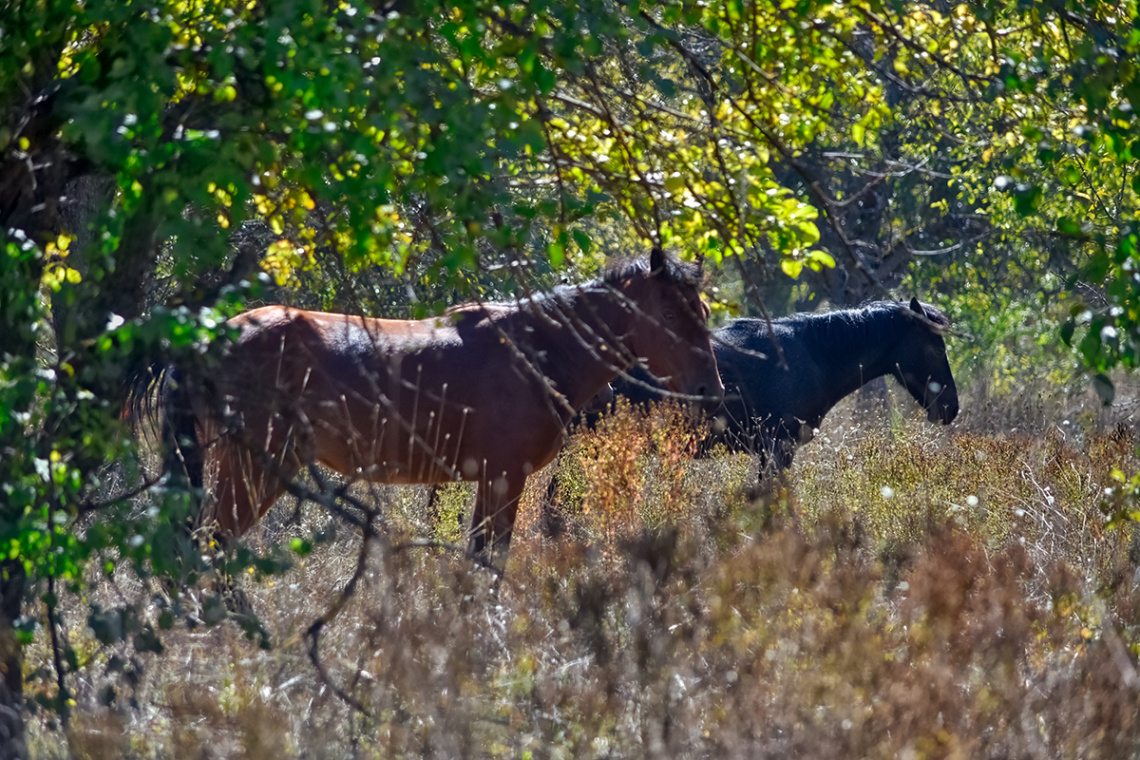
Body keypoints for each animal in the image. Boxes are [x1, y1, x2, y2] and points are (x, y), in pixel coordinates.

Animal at [158, 249, 720, 565]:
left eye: (704, 309)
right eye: (671, 314)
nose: (710, 390)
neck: (535, 350)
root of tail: (209, 337)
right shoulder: (502, 478)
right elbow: (487, 561)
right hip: (254, 468)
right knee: (210, 547)